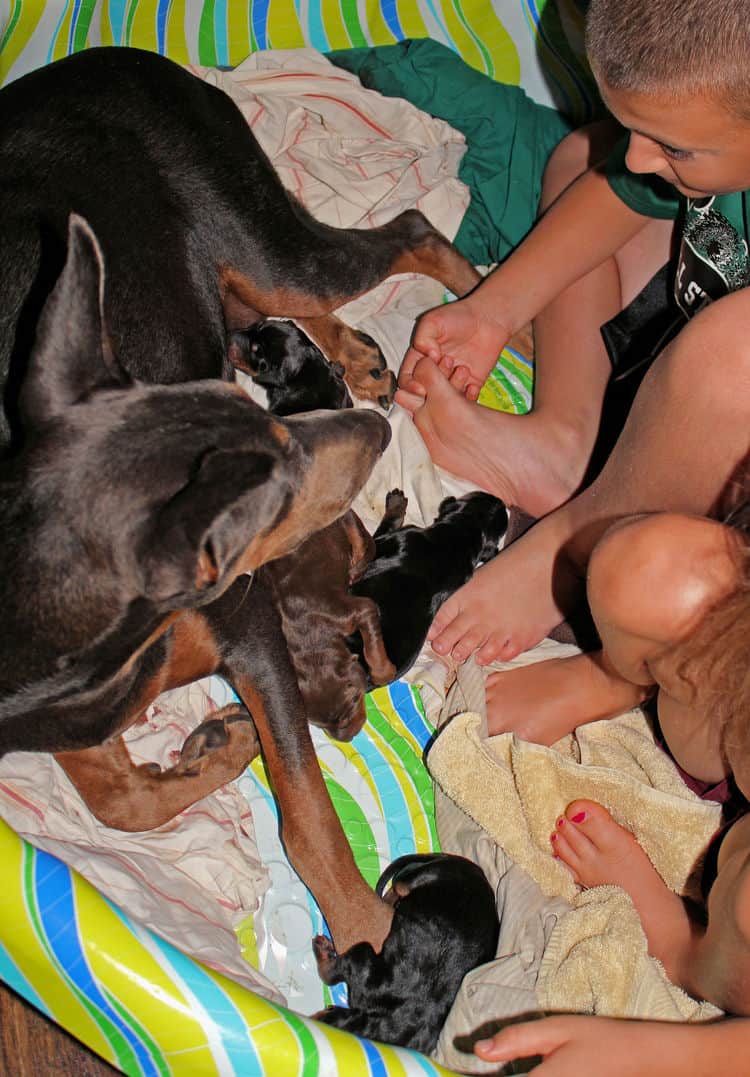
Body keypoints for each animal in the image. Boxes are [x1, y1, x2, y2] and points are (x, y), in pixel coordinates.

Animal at [0, 44, 480, 952]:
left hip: (259, 233)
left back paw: (493, 313)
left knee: (404, 232)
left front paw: (368, 934)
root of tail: (119, 56)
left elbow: (306, 814)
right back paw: (356, 353)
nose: (372, 437)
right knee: (249, 306)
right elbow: (120, 801)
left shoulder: (248, 614)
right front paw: (218, 747)